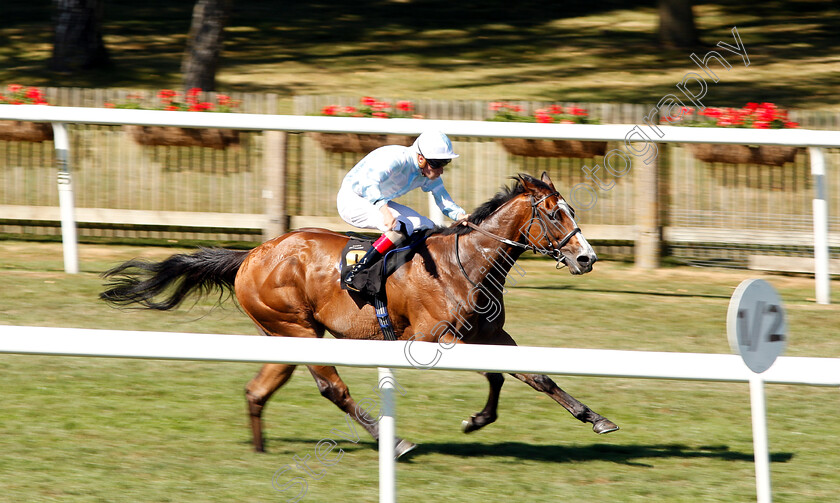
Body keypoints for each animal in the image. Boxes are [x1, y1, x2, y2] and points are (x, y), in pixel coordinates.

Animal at [101, 172, 620, 456]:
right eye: (553, 214)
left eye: (571, 211)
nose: (586, 258)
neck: (466, 263)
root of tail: (251, 254)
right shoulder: (434, 338)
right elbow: (498, 374)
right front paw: (476, 420)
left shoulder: (490, 333)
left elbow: (533, 376)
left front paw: (593, 417)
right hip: (297, 329)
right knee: (332, 388)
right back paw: (394, 441)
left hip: (283, 335)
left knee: (257, 389)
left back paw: (259, 447)